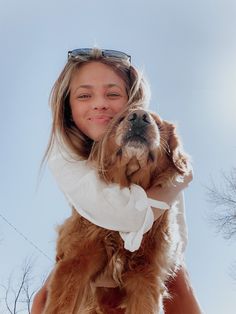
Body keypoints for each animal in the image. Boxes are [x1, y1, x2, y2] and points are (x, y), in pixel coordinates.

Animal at [43, 106, 191, 312]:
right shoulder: (75, 262)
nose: (139, 117)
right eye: (121, 119)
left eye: (157, 122)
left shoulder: (145, 276)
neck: (128, 192)